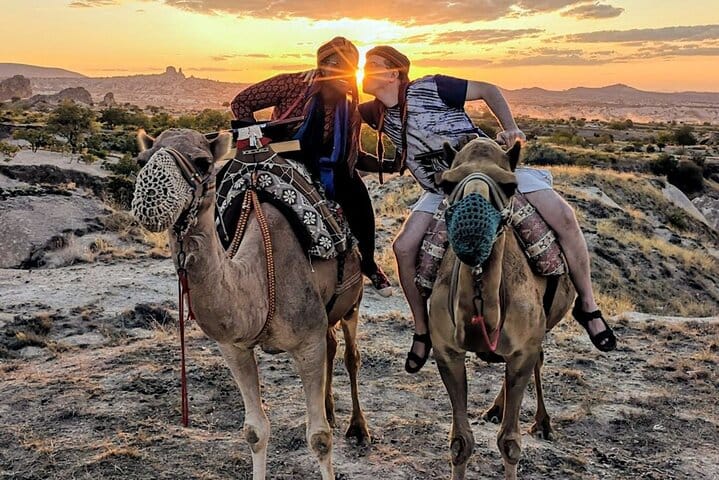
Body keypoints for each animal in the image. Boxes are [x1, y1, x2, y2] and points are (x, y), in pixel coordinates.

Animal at [130, 128, 370, 480]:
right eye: (142, 160)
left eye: (203, 163)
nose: (150, 198)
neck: (260, 277)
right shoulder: (233, 347)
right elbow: (255, 431)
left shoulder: (306, 342)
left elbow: (320, 438)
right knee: (332, 343)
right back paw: (329, 408)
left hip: (353, 300)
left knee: (351, 356)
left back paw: (359, 428)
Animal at [428, 138, 575, 480]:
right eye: (447, 183)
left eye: (511, 186)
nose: (472, 231)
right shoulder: (446, 351)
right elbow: (460, 442)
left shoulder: (524, 348)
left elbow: (509, 442)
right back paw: (496, 408)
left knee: (538, 361)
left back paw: (542, 423)